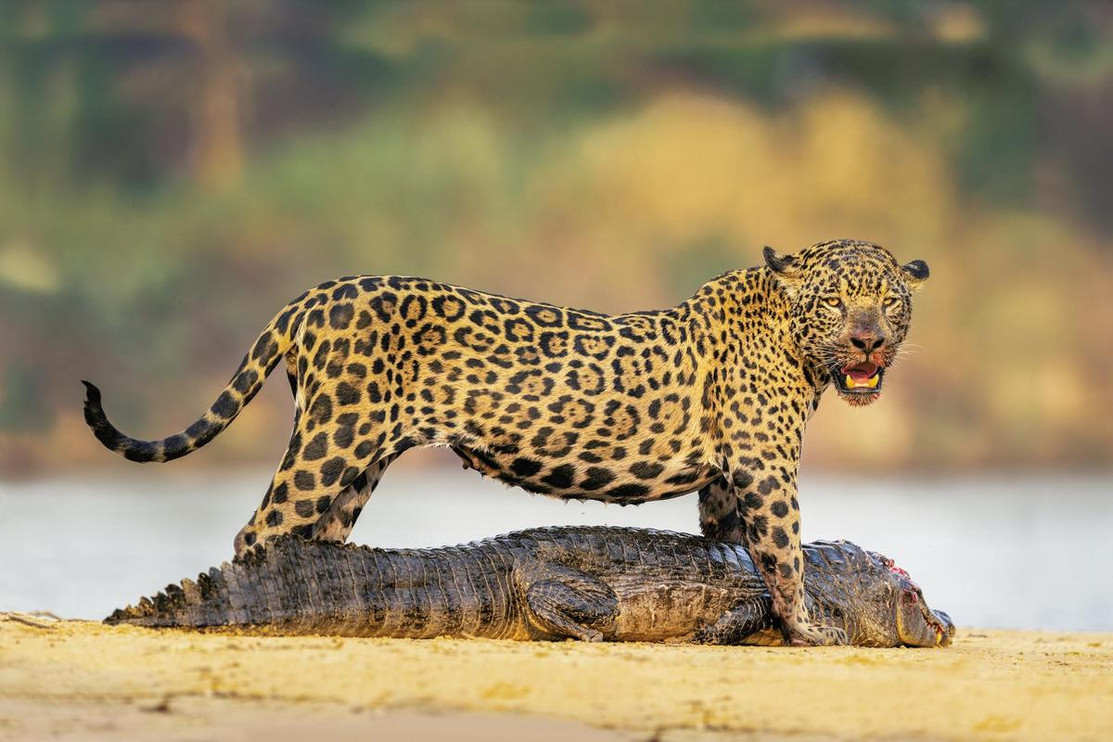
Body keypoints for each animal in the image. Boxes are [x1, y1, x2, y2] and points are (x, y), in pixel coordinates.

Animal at [82, 238, 929, 646]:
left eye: (889, 300)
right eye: (837, 301)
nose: (867, 339)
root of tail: (308, 299)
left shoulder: (725, 477)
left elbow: (732, 549)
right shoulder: (764, 467)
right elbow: (783, 555)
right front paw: (812, 631)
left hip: (359, 461)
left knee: (312, 541)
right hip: (334, 438)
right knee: (258, 532)